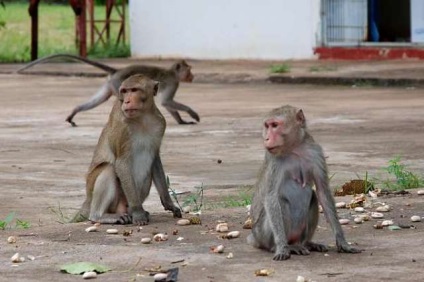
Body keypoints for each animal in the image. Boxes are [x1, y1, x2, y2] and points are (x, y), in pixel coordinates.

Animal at [16, 53, 199, 125]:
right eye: (189, 69)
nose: (192, 76)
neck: (173, 73)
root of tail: (118, 71)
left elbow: (168, 104)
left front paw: (182, 121)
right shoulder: (173, 82)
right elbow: (167, 101)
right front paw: (192, 114)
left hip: (111, 84)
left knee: (100, 99)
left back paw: (75, 111)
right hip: (119, 84)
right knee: (124, 102)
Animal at [70, 73, 182, 225]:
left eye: (134, 90)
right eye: (124, 91)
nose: (127, 101)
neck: (142, 118)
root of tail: (87, 200)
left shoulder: (160, 122)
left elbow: (155, 159)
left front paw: (169, 204)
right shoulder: (121, 127)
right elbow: (121, 163)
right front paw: (138, 213)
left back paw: (130, 212)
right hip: (94, 189)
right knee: (108, 168)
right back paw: (101, 216)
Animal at [247, 105, 362, 260]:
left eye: (275, 125)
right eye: (267, 126)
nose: (267, 138)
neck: (294, 148)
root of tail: (255, 237)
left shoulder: (316, 152)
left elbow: (322, 192)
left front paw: (342, 241)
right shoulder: (274, 160)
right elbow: (271, 197)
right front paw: (281, 248)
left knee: (313, 197)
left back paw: (306, 243)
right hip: (262, 234)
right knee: (280, 202)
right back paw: (283, 246)